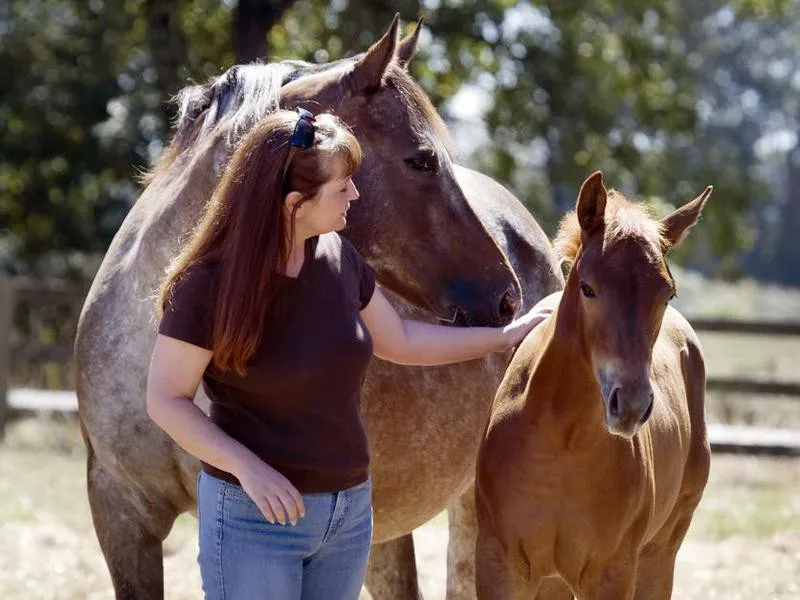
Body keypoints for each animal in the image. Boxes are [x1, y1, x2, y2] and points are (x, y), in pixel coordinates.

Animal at [476, 171, 712, 596]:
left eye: (667, 294)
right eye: (588, 288)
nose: (631, 405)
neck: (562, 441)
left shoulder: (610, 573)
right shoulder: (498, 563)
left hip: (659, 555)